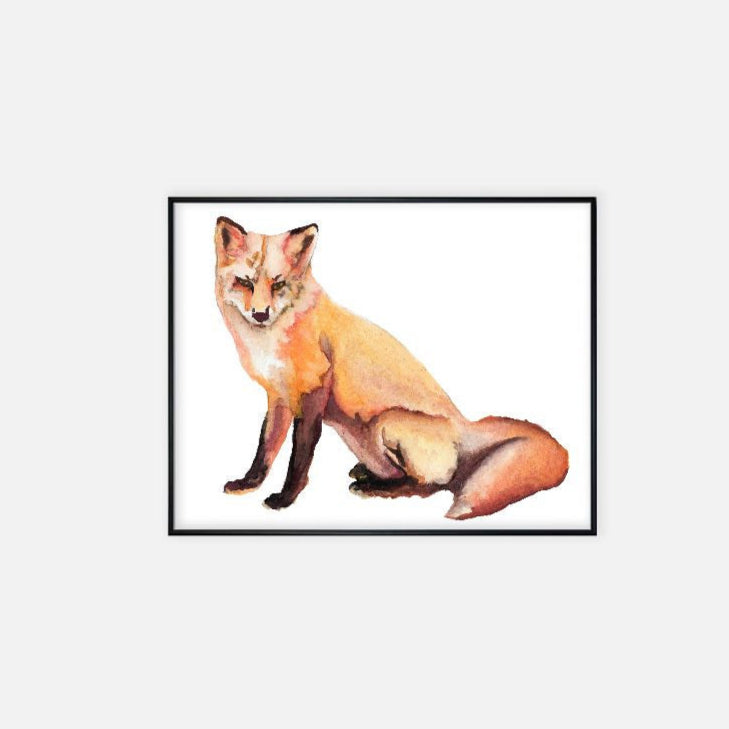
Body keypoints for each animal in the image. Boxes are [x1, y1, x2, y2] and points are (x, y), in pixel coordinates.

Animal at [214, 216, 569, 520]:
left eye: (278, 284)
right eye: (244, 282)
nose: (261, 314)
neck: (272, 342)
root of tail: (464, 425)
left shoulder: (313, 393)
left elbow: (298, 458)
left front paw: (285, 499)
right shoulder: (280, 397)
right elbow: (265, 448)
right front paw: (248, 483)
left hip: (386, 422)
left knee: (432, 485)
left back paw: (374, 488)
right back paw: (368, 474)